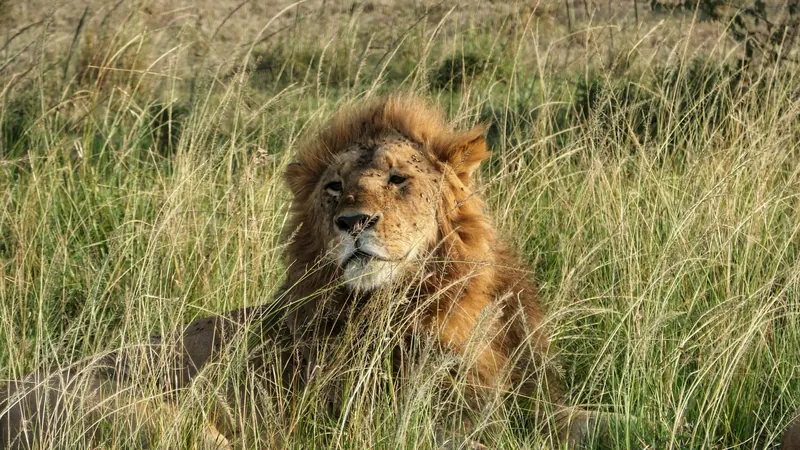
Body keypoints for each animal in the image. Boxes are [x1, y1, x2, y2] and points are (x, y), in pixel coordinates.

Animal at [1, 94, 602, 449]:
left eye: (399, 179)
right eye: (334, 187)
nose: (353, 222)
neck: (432, 299)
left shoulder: (530, 394)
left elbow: (584, 418)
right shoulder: (382, 419)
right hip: (149, 414)